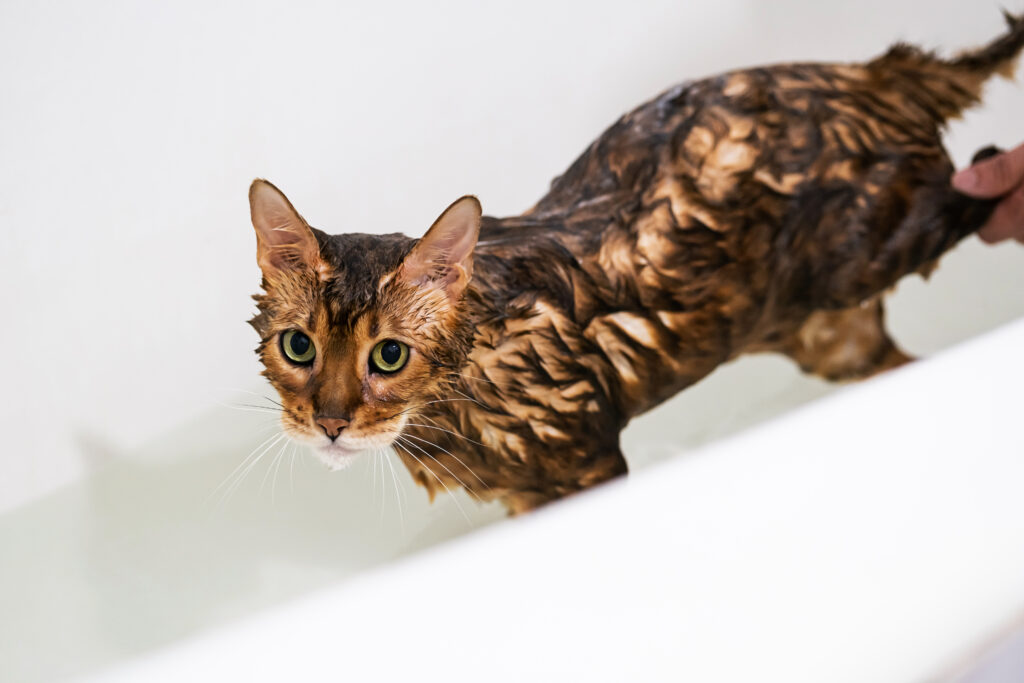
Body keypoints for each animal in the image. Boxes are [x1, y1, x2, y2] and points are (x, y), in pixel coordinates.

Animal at [247, 12, 1024, 511]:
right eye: (298, 347)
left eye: (389, 356)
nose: (330, 421)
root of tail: (868, 75)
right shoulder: (522, 498)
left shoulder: (586, 465)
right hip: (832, 335)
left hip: (879, 241)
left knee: (970, 192)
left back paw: (996, 171)